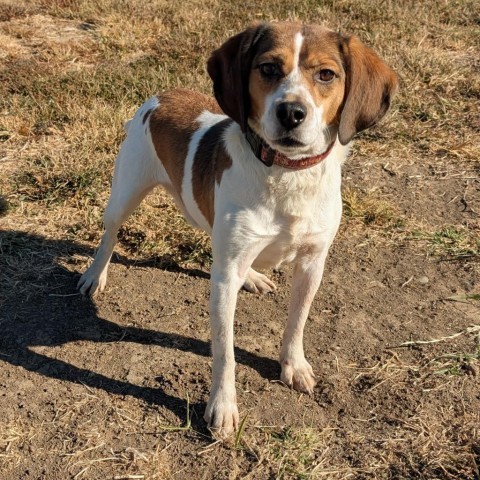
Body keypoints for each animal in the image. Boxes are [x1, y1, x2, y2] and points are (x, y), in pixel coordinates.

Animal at [78, 21, 398, 436]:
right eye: (268, 68)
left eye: (326, 74)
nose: (291, 111)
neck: (286, 173)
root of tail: (161, 96)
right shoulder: (225, 278)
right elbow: (225, 351)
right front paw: (222, 406)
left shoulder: (312, 263)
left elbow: (297, 322)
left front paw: (293, 365)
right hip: (125, 194)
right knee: (110, 235)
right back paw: (94, 274)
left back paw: (255, 277)